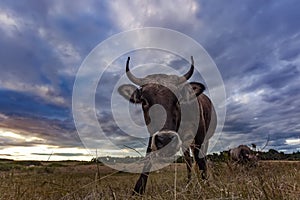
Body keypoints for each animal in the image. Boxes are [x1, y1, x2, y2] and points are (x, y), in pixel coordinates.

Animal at [118, 56, 217, 194]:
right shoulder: (153, 136)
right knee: (188, 160)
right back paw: (189, 184)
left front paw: (207, 186)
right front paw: (138, 190)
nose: (165, 140)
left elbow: (201, 161)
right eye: (144, 101)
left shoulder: (200, 135)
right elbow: (148, 157)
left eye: (178, 98)